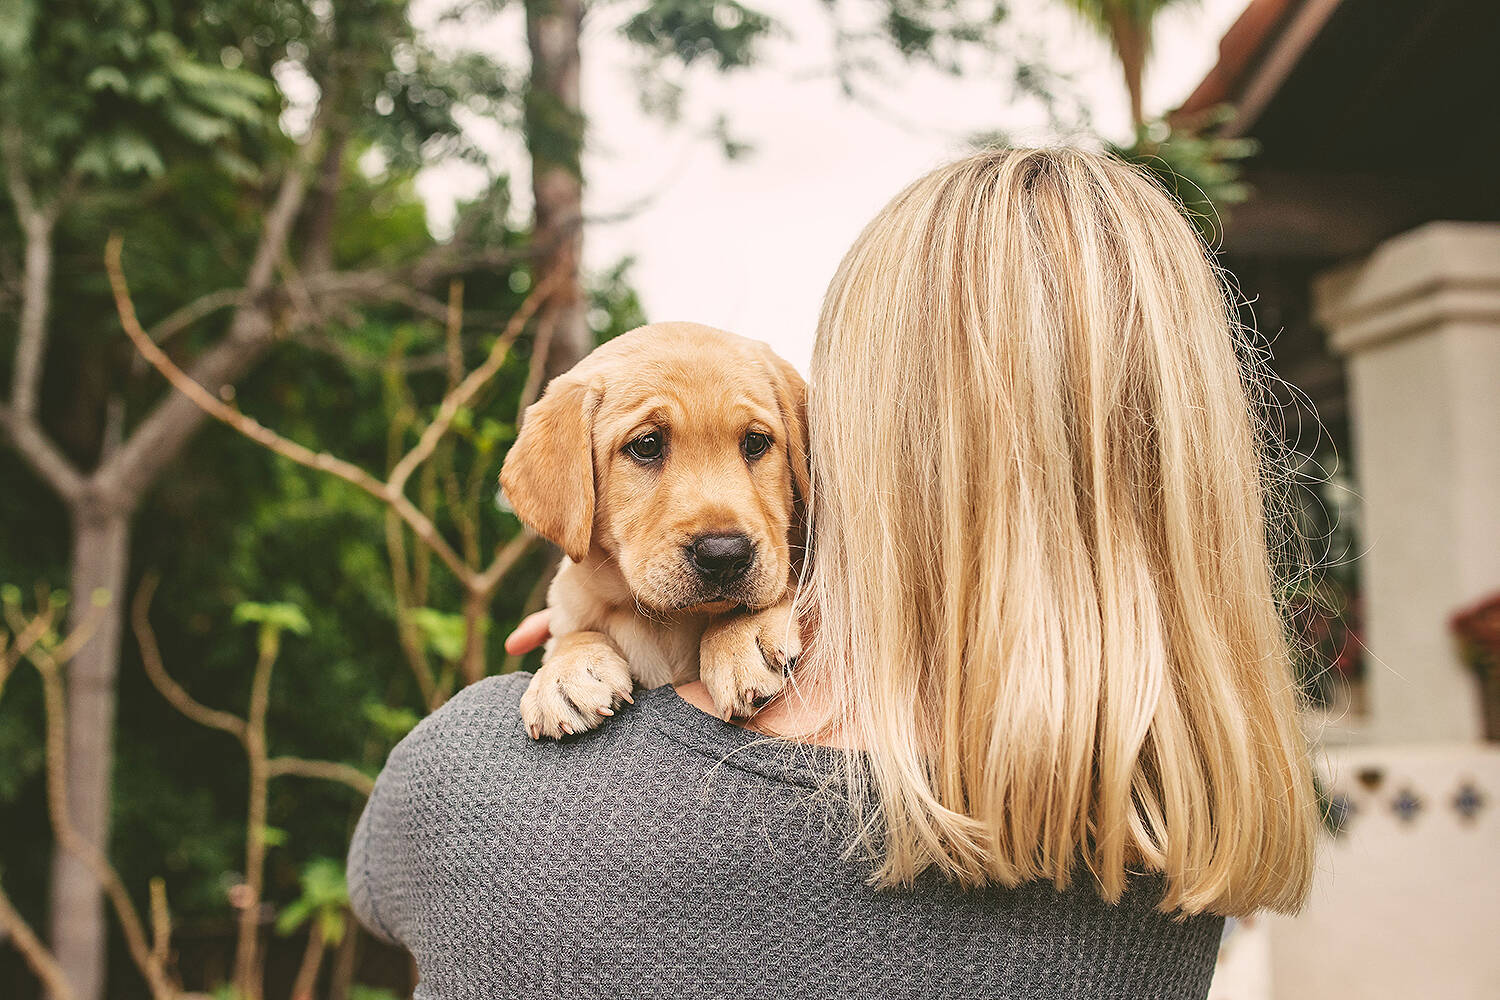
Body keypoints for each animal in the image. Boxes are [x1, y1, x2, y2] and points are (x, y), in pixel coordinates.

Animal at [501, 325, 810, 740]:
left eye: (756, 441)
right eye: (647, 445)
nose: (724, 555)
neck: (667, 623)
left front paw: (740, 635)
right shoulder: (570, 606)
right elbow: (571, 633)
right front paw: (564, 672)